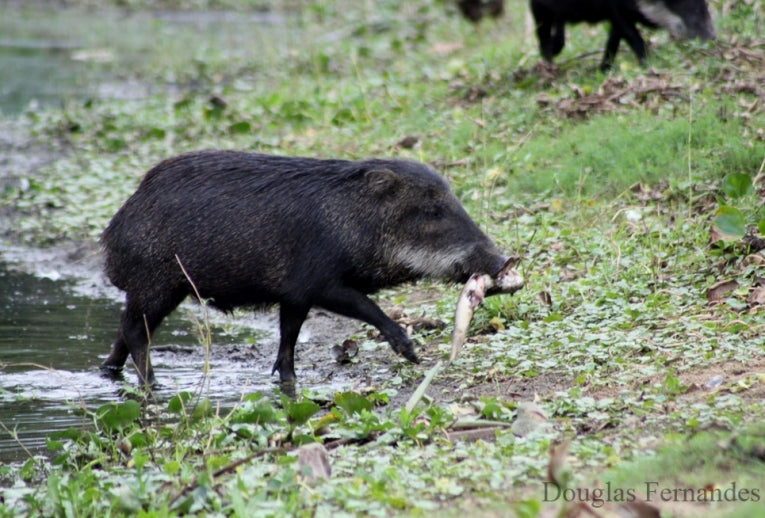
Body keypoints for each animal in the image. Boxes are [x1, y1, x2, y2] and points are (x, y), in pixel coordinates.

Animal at [101, 151, 519, 386]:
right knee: (135, 333)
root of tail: (112, 235)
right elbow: (368, 307)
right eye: (432, 212)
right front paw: (412, 353)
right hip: (156, 284)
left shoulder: (295, 296)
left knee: (124, 333)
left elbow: (289, 339)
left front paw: (287, 381)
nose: (504, 261)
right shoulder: (320, 284)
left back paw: (111, 374)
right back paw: (152, 385)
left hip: (160, 290)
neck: (356, 222)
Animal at [530, 0, 716, 71]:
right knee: (542, 34)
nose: (712, 38)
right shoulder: (616, 9)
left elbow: (614, 40)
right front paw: (650, 67)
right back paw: (551, 67)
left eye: (705, 3)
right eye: (688, 5)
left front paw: (604, 70)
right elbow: (634, 38)